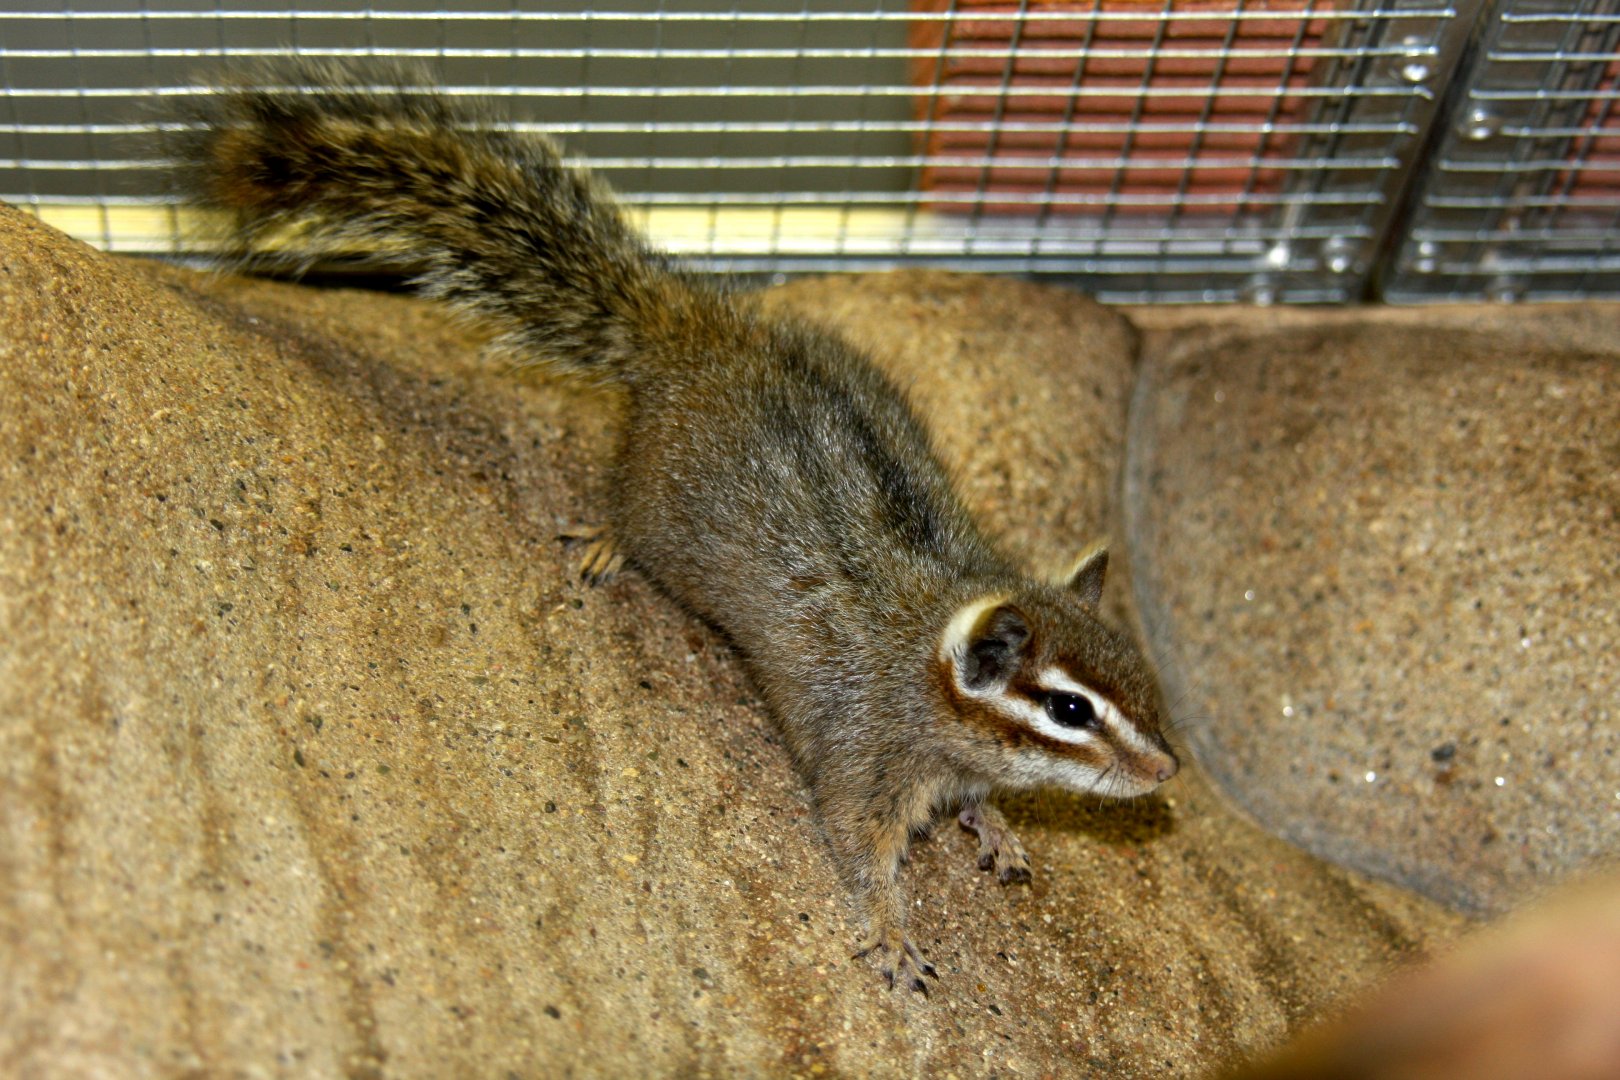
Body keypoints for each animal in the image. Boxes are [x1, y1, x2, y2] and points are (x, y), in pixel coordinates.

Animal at [178, 63, 1180, 994]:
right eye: (1069, 709)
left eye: (1143, 676)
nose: (1169, 773)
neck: (931, 669)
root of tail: (693, 329)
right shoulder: (864, 762)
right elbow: (859, 853)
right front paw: (894, 934)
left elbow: (976, 806)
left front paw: (997, 827)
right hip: (655, 504)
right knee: (627, 515)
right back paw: (606, 543)